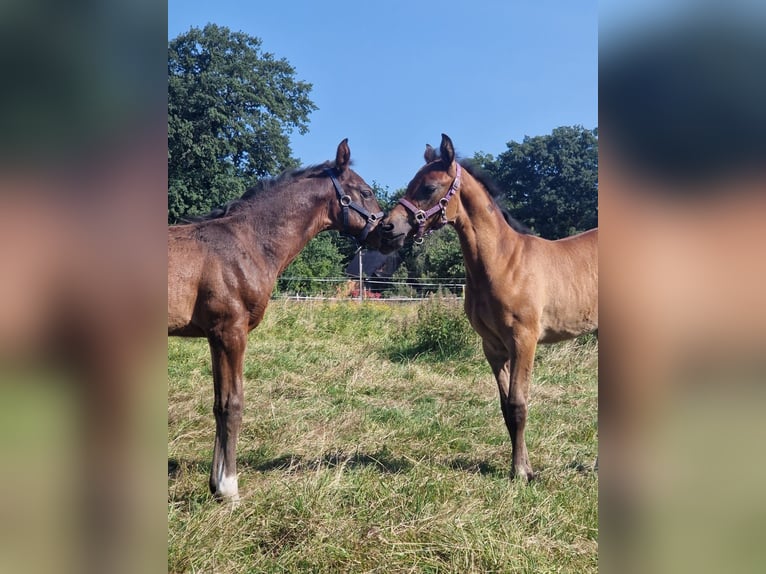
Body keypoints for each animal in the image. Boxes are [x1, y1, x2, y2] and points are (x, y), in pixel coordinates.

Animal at [169, 141, 384, 504]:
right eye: (366, 192)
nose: (392, 231)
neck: (248, 243)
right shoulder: (231, 333)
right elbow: (233, 404)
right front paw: (229, 489)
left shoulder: (215, 337)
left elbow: (218, 404)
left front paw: (215, 485)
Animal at [378, 136, 600, 482]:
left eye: (428, 187)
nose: (388, 229)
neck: (502, 262)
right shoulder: (493, 347)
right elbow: (505, 407)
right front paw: (522, 467)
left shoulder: (524, 340)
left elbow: (519, 404)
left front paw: (521, 472)